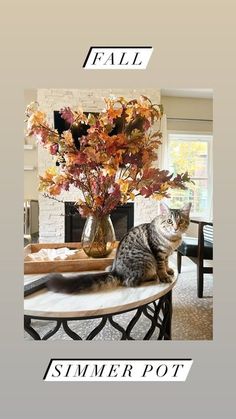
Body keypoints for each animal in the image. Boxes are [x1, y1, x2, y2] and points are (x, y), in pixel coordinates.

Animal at [41, 202, 191, 294]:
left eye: (181, 222)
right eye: (169, 221)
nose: (176, 228)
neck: (172, 241)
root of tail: (117, 271)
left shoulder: (166, 254)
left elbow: (166, 263)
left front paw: (169, 270)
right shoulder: (158, 252)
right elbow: (161, 266)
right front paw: (164, 276)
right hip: (147, 259)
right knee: (130, 282)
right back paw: (153, 277)